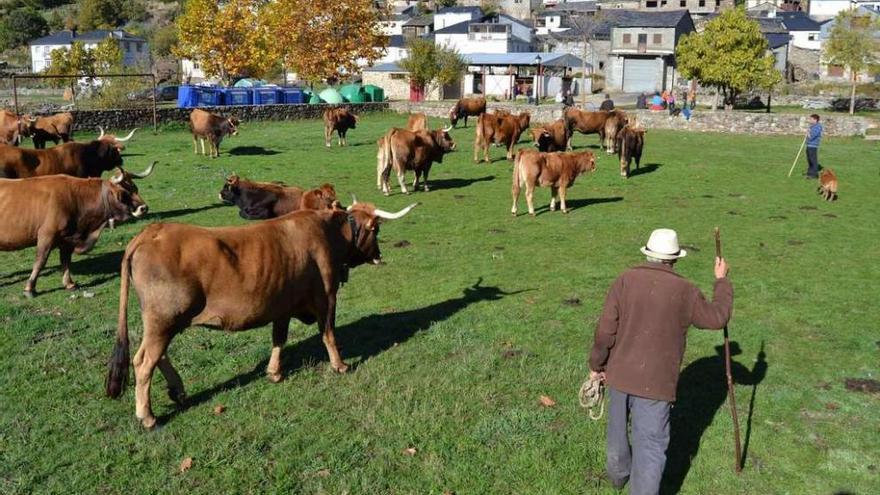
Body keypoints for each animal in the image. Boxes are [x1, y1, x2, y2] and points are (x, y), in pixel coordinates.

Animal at [103, 199, 420, 430]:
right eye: (376, 229)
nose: (378, 255)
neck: (329, 233)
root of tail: (151, 231)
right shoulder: (326, 298)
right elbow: (328, 333)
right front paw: (339, 365)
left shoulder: (282, 303)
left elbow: (279, 338)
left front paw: (274, 372)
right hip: (163, 319)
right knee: (144, 362)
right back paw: (147, 416)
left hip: (165, 321)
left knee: (157, 355)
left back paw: (177, 390)